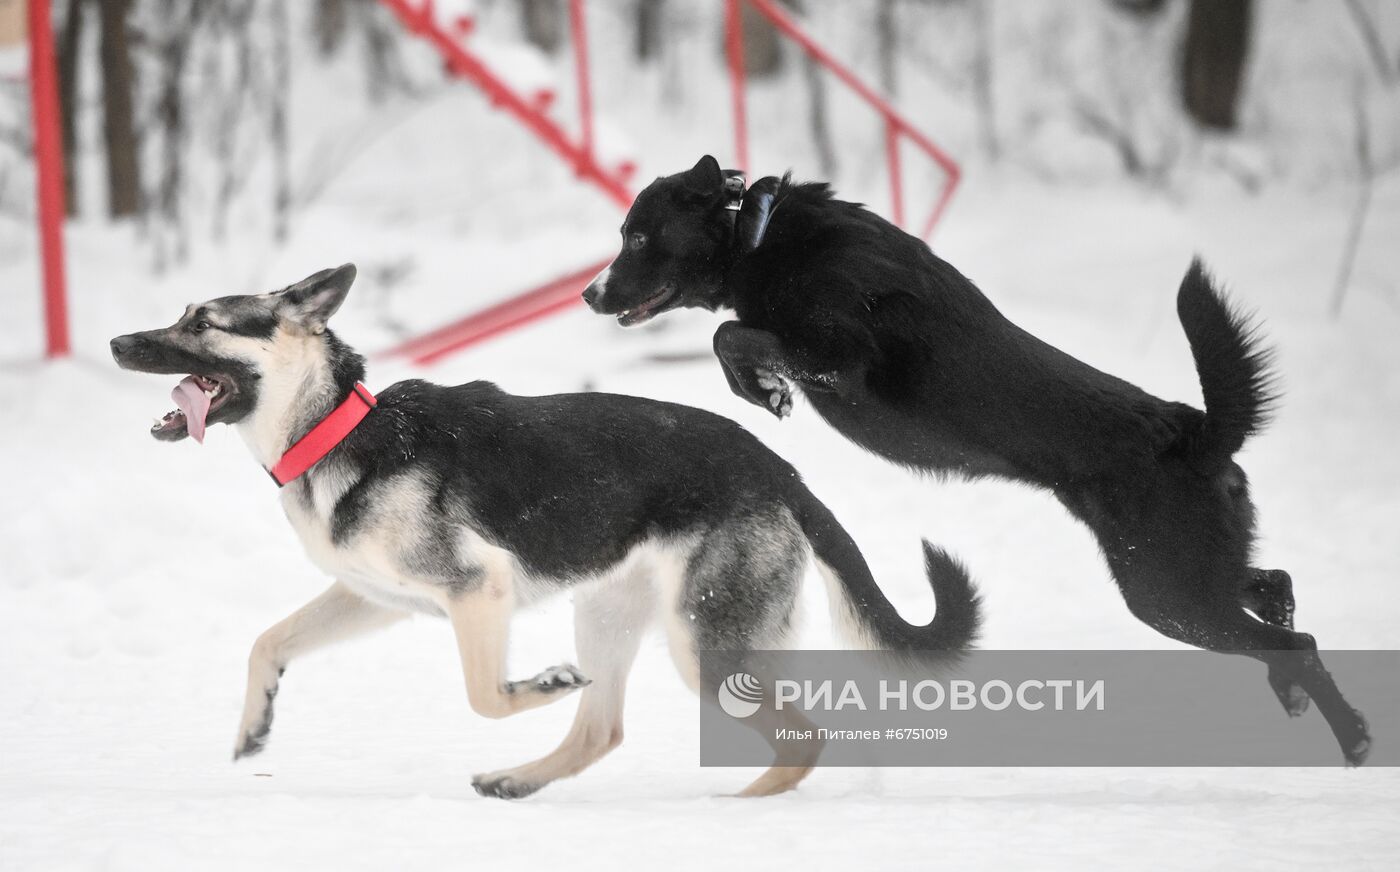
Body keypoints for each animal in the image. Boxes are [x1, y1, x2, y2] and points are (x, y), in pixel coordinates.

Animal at [585, 155, 1372, 761]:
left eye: (638, 234)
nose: (591, 294)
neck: (759, 233)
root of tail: (1196, 432)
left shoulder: (839, 361)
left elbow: (733, 336)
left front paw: (764, 390)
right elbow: (733, 337)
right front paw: (761, 390)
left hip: (1167, 593)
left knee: (1295, 639)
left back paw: (1355, 737)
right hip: (1188, 573)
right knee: (1274, 589)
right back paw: (1295, 694)